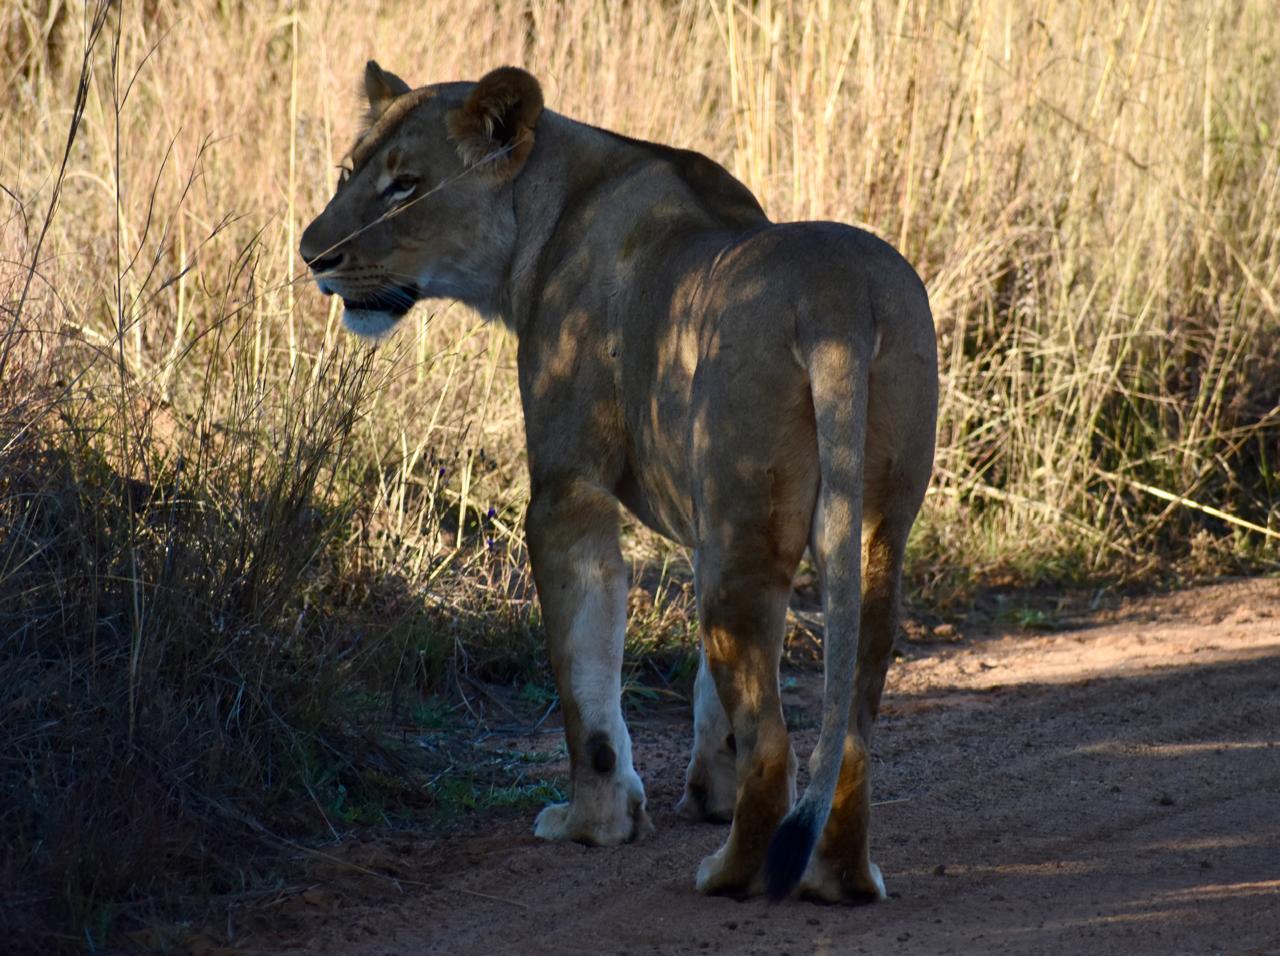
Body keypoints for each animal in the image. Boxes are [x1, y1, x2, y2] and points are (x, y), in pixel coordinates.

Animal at [300, 62, 938, 902]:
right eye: (349, 174)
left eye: (405, 185)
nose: (312, 255)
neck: (545, 210)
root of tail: (837, 300)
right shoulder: (702, 523)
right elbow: (707, 696)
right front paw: (709, 794)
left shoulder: (568, 489)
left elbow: (584, 678)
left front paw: (594, 823)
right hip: (864, 524)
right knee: (851, 723)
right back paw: (840, 881)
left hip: (746, 526)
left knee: (774, 741)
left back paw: (730, 875)